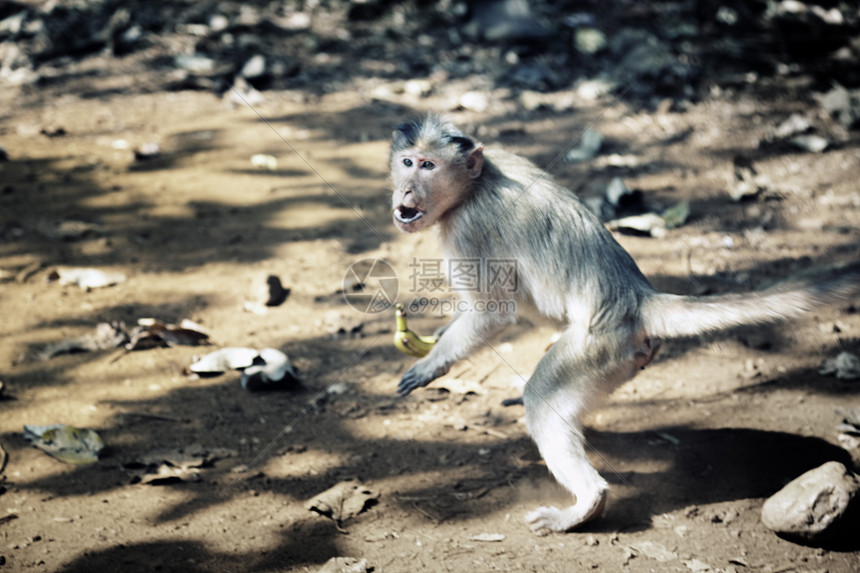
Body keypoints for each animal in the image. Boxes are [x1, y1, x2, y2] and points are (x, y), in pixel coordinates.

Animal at [390, 113, 860, 532]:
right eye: (407, 161)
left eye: (428, 165)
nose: (405, 188)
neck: (475, 183)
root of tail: (637, 298)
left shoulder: (469, 228)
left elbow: (493, 312)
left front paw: (432, 363)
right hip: (622, 358)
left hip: (599, 346)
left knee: (543, 395)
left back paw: (587, 504)